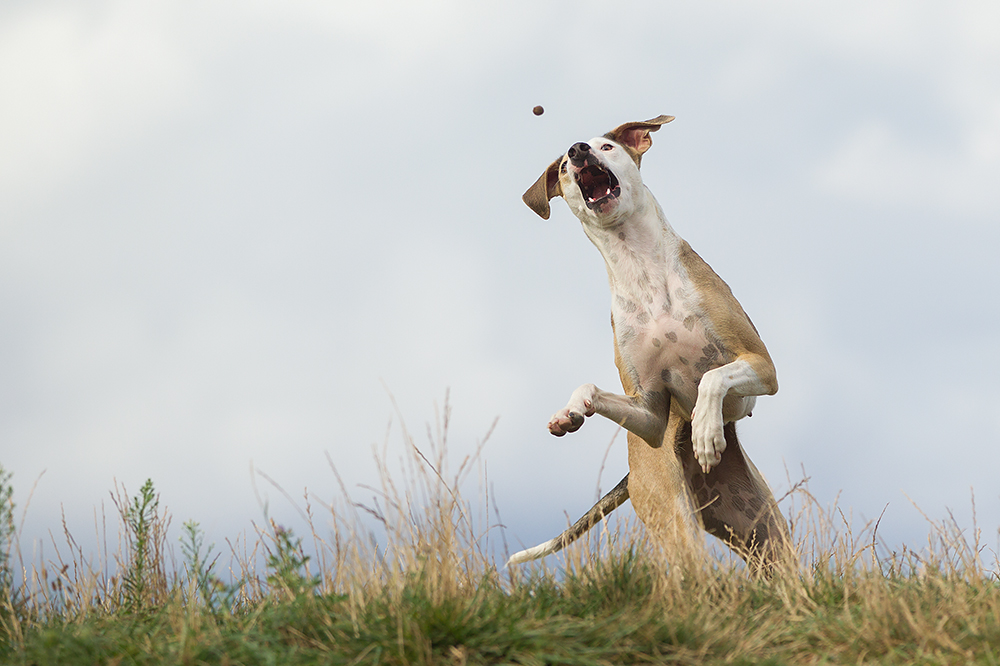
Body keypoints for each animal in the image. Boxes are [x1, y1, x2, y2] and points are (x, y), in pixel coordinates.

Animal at [512, 115, 792, 572]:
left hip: (766, 535)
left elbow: (712, 377)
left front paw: (706, 430)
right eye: (563, 169)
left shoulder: (762, 366)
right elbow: (596, 389)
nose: (577, 150)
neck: (641, 270)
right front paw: (571, 411)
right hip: (674, 512)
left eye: (607, 146)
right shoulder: (649, 414)